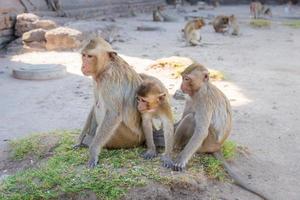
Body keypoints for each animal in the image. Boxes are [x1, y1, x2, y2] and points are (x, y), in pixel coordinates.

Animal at [72, 36, 145, 168]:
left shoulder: (109, 80)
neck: (107, 66)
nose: (83, 66)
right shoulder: (96, 80)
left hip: (128, 138)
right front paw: (79, 139)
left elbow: (113, 114)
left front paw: (93, 151)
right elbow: (94, 104)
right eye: (84, 55)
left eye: (90, 56)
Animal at [171, 63, 272, 200]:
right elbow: (181, 120)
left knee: (191, 119)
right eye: (183, 77)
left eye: (187, 79)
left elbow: (201, 132)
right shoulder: (190, 98)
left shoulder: (203, 100)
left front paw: (181, 160)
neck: (200, 89)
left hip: (207, 143)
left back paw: (175, 146)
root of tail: (217, 147)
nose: (181, 86)